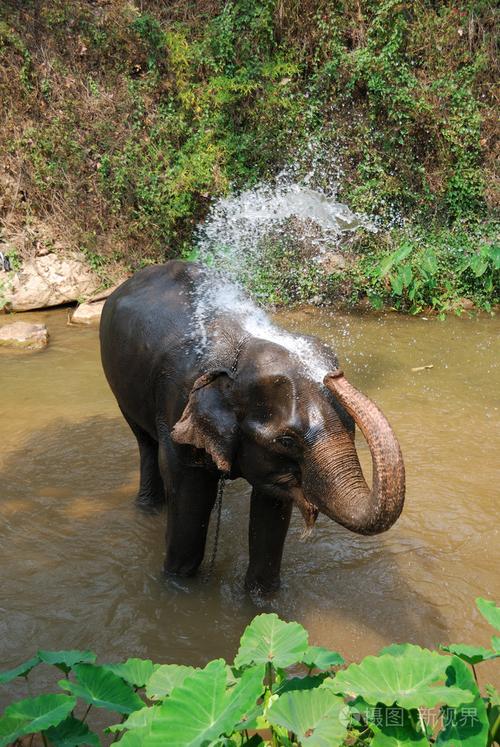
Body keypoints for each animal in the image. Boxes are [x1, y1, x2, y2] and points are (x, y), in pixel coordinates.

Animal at [99, 260, 404, 592]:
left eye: (350, 426)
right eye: (287, 441)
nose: (334, 375)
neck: (240, 350)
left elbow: (271, 510)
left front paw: (261, 596)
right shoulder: (176, 404)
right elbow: (189, 494)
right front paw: (178, 585)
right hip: (121, 389)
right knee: (145, 442)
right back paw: (149, 508)